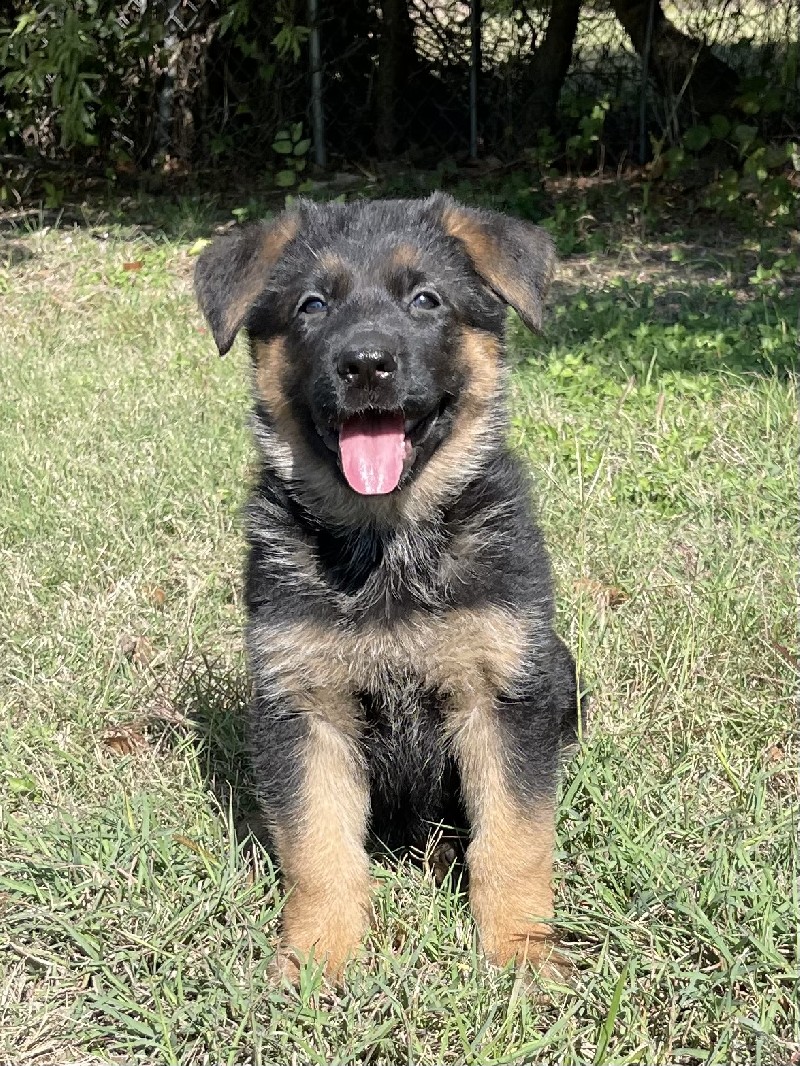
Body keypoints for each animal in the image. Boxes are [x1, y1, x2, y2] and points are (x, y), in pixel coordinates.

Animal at [194, 194, 584, 980]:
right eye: (312, 305)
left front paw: (522, 954)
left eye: (425, 299)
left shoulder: (506, 698)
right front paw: (319, 957)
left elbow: (515, 841)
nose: (366, 364)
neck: (387, 545)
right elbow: (318, 846)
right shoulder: (303, 706)